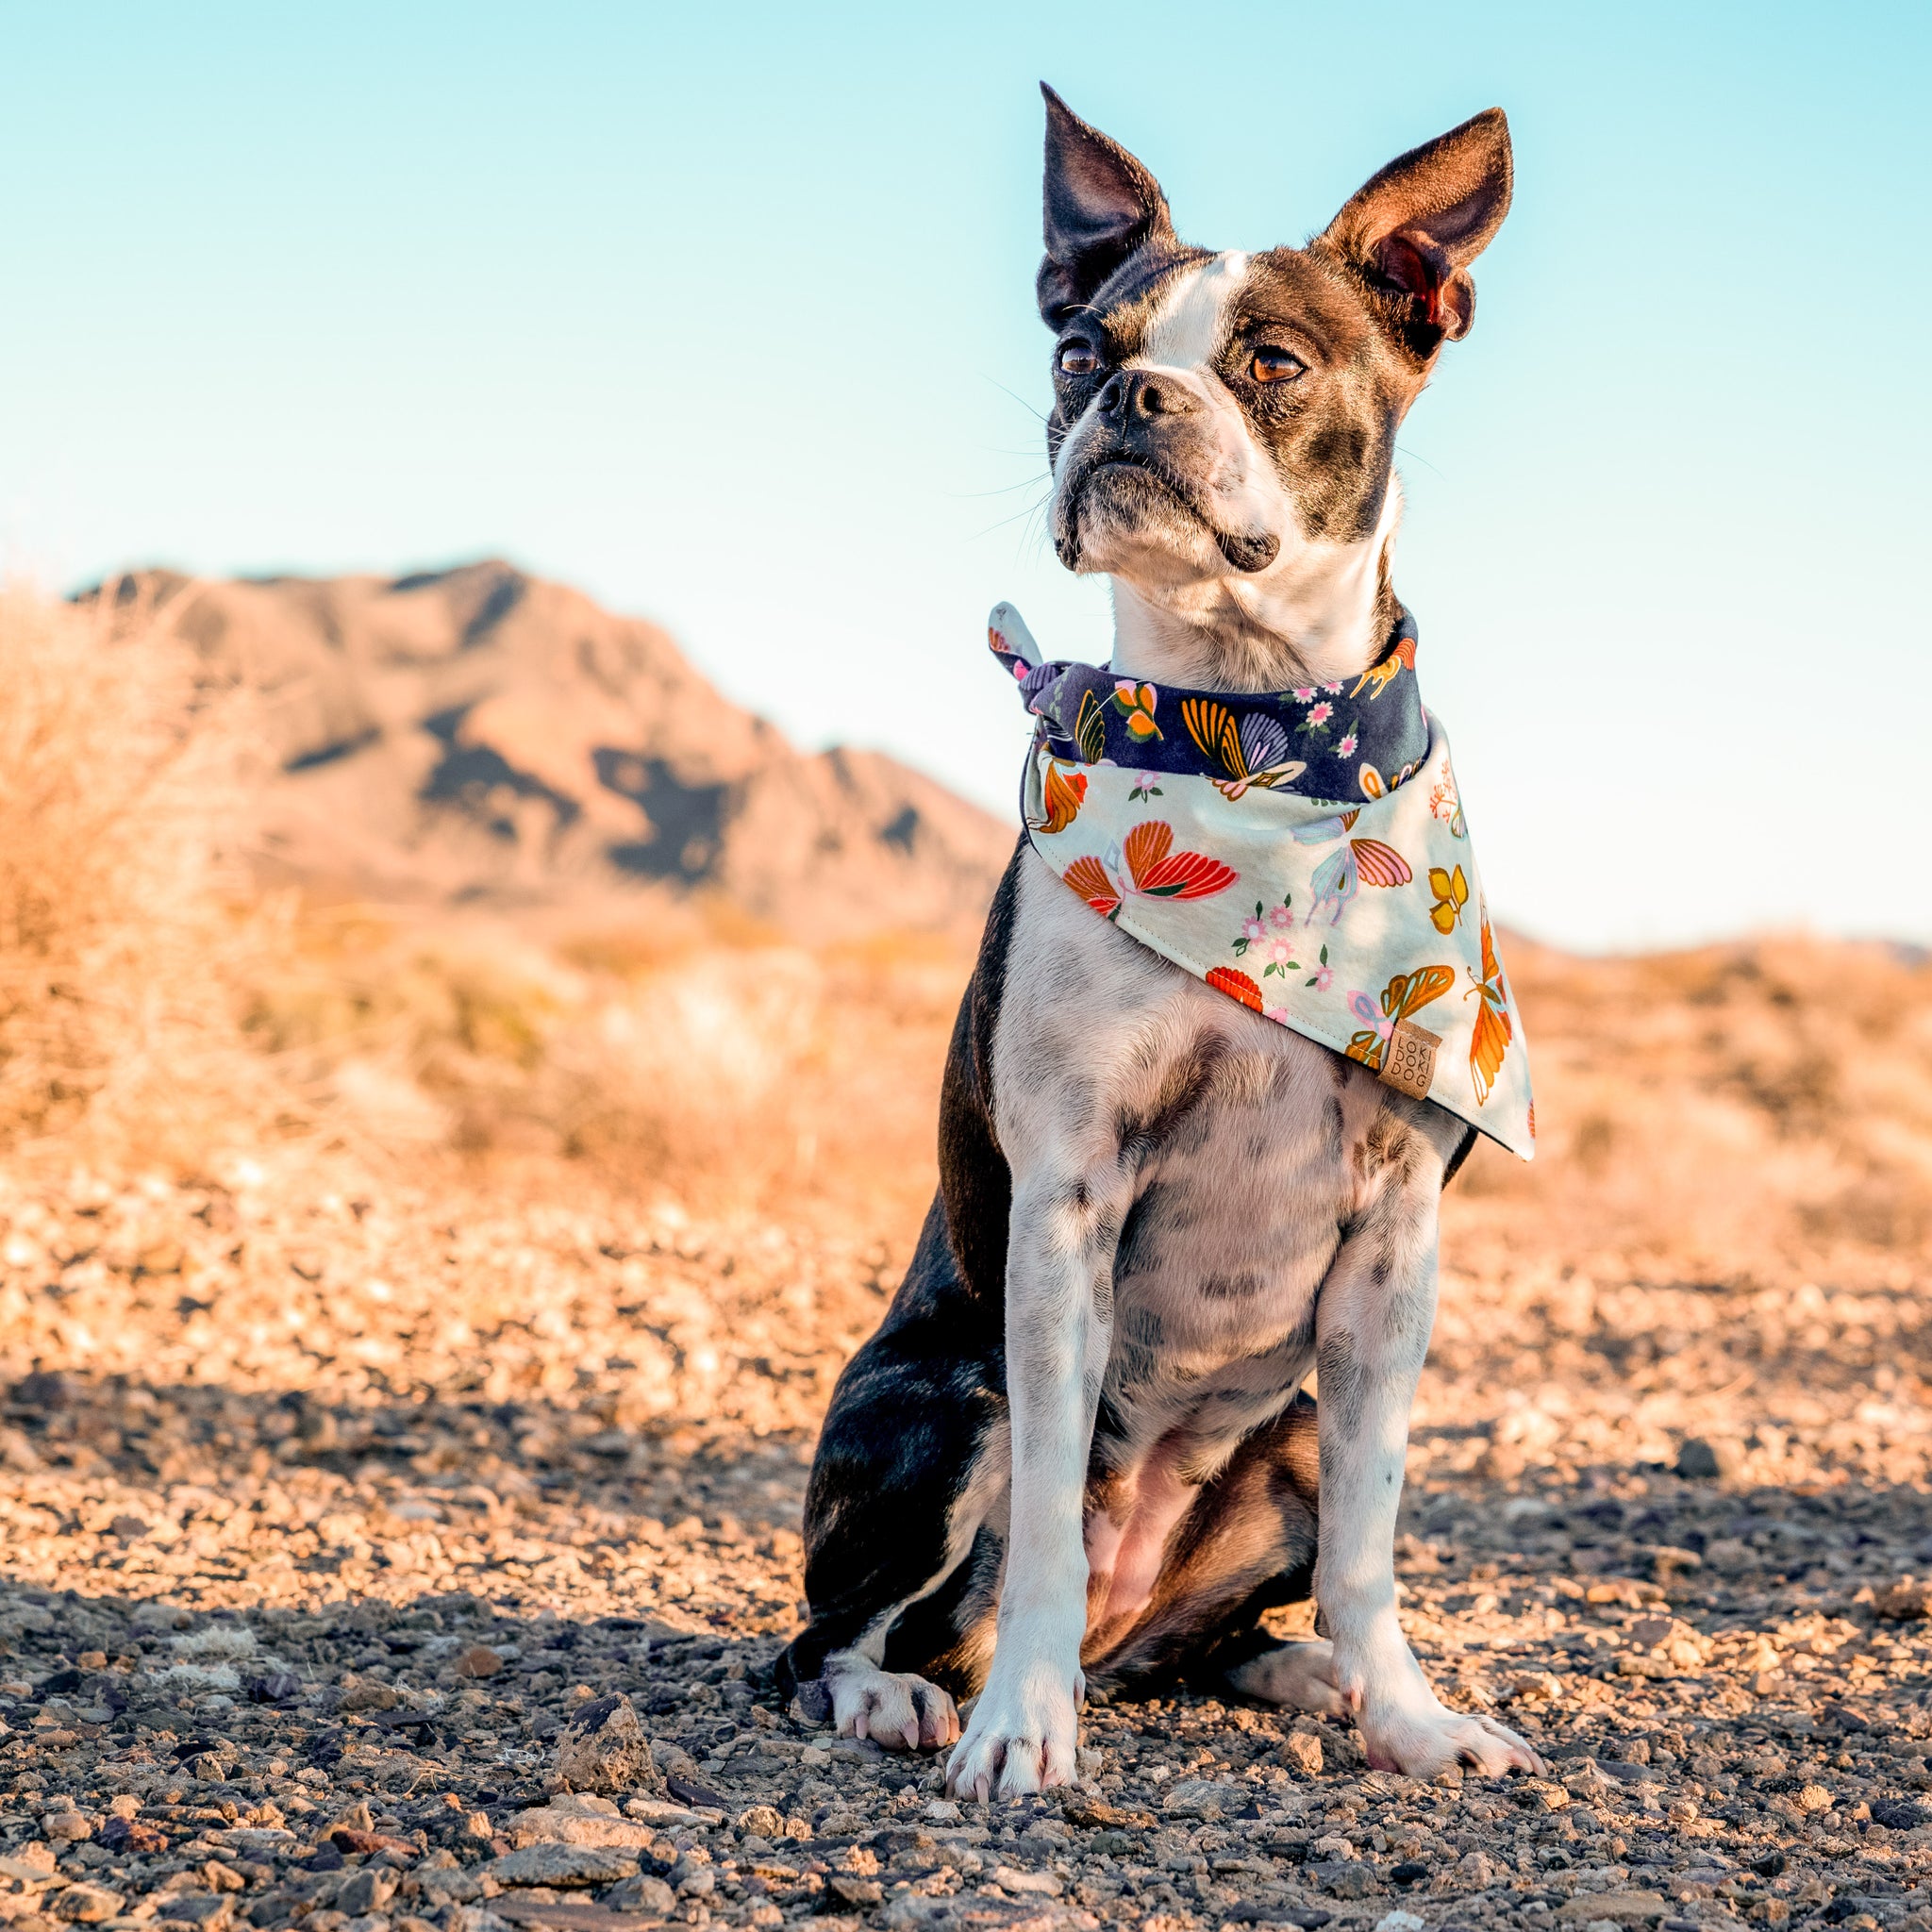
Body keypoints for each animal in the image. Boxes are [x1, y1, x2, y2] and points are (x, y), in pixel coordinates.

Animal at [769, 75, 1538, 1792]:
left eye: (1273, 362)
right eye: (1079, 349)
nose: (1131, 395)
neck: (1255, 741)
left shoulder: (1397, 1245)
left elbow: (1373, 1542)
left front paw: (1405, 1714)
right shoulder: (1066, 1208)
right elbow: (1050, 1525)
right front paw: (1019, 1733)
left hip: (1291, 1426)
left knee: (1230, 1618)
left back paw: (1296, 1674)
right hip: (948, 1396)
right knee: (839, 1629)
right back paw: (909, 1692)